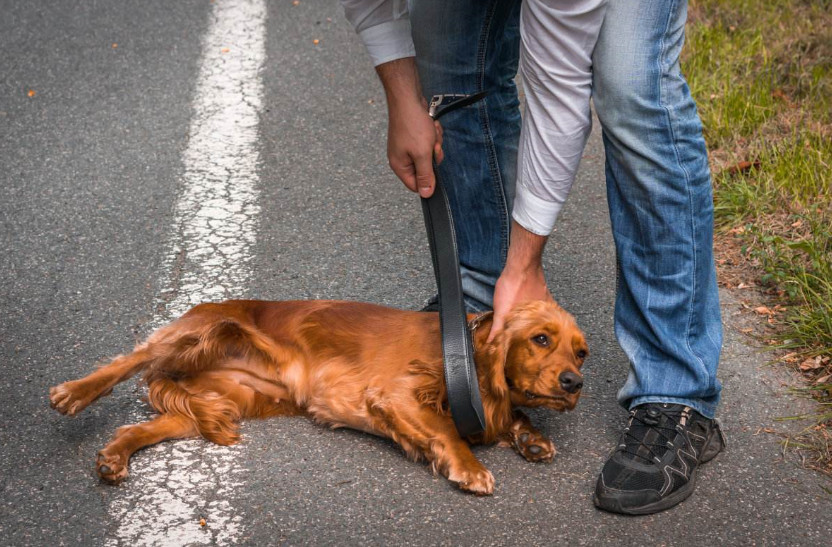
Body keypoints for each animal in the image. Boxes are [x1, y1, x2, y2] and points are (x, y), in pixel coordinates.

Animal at [48, 300, 588, 496]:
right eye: (541, 339)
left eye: (581, 353)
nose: (574, 383)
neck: (466, 353)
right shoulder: (395, 393)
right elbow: (447, 431)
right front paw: (471, 469)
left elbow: (507, 415)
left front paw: (531, 437)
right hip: (201, 330)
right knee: (133, 359)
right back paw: (72, 392)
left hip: (224, 401)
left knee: (143, 426)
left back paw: (113, 458)